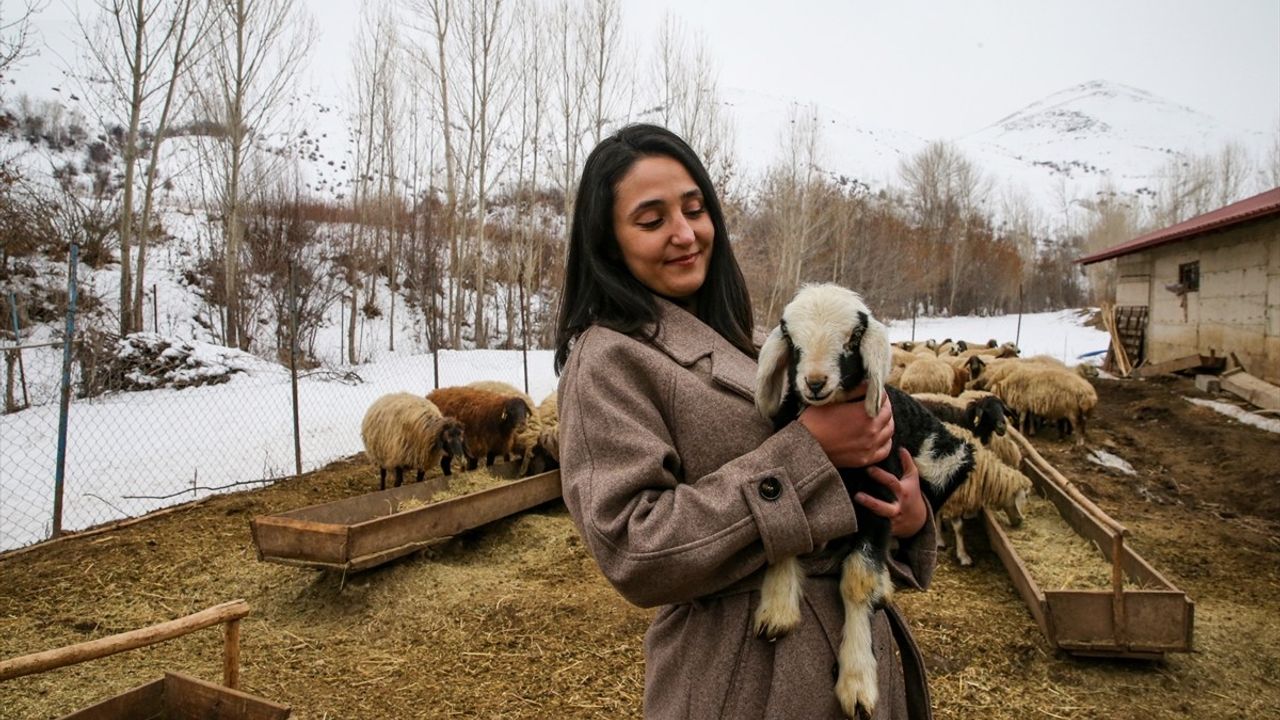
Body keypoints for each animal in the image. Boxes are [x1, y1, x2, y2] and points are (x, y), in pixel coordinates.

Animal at [936, 420, 1034, 566]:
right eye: (1026, 496)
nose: (1019, 522)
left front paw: (939, 540)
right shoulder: (954, 498)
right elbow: (959, 528)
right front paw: (963, 556)